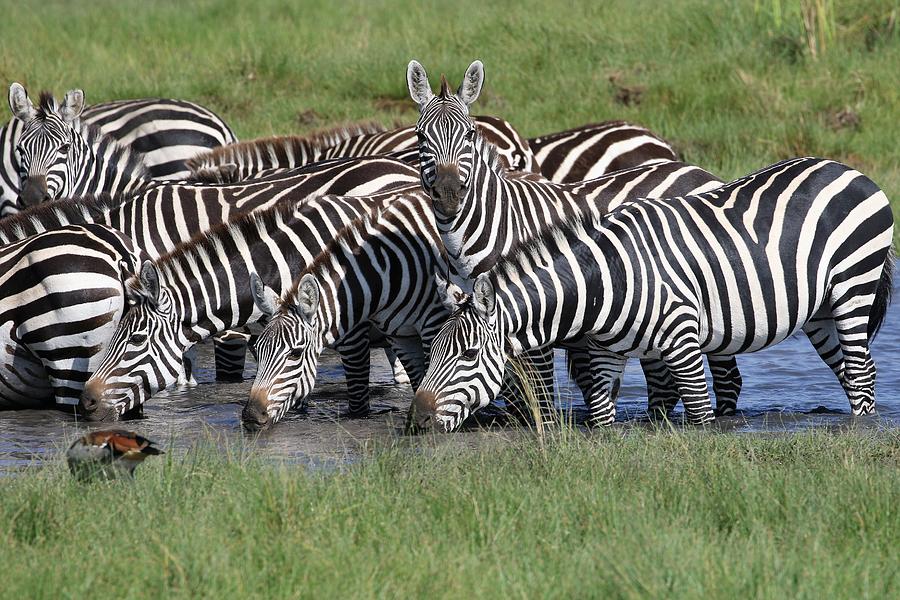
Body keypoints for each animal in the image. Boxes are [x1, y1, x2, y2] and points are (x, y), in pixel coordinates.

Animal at [78, 192, 422, 422]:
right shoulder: (278, 340)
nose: (86, 402)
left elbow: (356, 403)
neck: (292, 264)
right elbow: (286, 390)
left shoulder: (352, 339)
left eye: (136, 340)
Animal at [408, 156, 892, 432]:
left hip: (853, 285)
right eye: (433, 351)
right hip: (821, 311)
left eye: (468, 354)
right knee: (853, 373)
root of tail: (847, 168)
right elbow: (602, 418)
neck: (606, 280)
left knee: (861, 372)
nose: (417, 418)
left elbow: (699, 416)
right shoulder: (605, 353)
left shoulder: (683, 341)